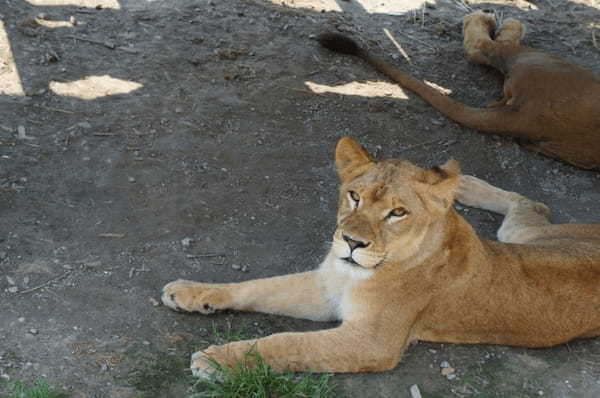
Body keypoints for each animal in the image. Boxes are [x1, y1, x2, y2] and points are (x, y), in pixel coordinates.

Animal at [159, 138, 600, 376]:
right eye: (354, 196)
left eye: (398, 213)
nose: (351, 242)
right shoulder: (324, 289)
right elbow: (255, 287)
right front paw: (189, 292)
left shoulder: (371, 342)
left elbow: (285, 343)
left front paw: (218, 360)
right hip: (520, 236)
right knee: (530, 203)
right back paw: (461, 185)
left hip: (528, 235)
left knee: (537, 203)